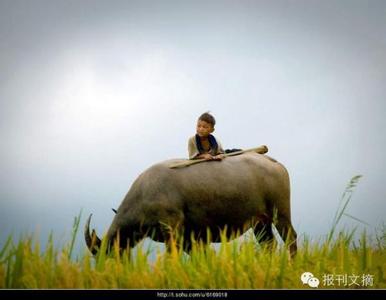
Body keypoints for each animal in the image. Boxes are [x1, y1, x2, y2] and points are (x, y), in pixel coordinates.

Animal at [84, 152, 298, 255]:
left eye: (108, 254)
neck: (146, 192)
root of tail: (273, 162)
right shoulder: (190, 240)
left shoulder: (172, 231)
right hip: (261, 223)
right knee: (269, 245)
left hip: (281, 214)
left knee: (291, 238)